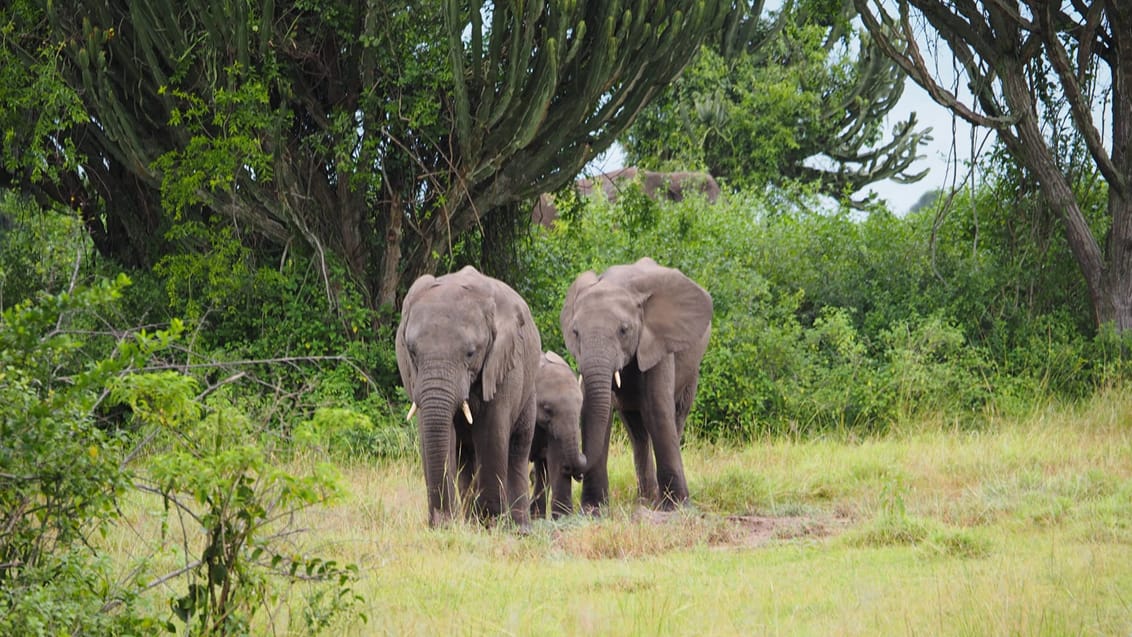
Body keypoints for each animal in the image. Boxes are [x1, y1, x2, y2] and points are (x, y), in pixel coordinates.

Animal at [396, 264, 541, 529]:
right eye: (411, 351)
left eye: (471, 353)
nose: (441, 522)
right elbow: (435, 434)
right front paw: (446, 526)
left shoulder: (503, 362)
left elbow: (492, 433)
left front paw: (490, 524)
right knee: (466, 457)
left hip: (529, 386)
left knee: (518, 449)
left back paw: (519, 528)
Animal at [527, 350, 584, 520]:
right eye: (547, 409)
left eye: (580, 408)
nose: (577, 474)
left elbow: (556, 457)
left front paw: (563, 519)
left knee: (541, 469)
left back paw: (536, 517)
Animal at [561, 256, 710, 511]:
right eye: (575, 332)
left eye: (624, 330)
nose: (575, 471)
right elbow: (598, 412)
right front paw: (593, 510)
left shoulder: (657, 342)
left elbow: (657, 410)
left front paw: (677, 507)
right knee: (637, 431)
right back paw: (646, 499)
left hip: (692, 370)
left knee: (675, 416)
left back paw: (656, 499)